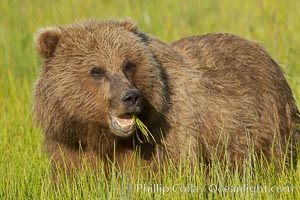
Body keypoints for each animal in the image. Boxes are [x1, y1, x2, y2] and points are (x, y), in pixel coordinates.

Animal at [32, 18, 298, 176]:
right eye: (96, 70)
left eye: (128, 63)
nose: (130, 96)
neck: (102, 137)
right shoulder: (69, 143)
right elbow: (73, 174)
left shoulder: (166, 136)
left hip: (267, 123)